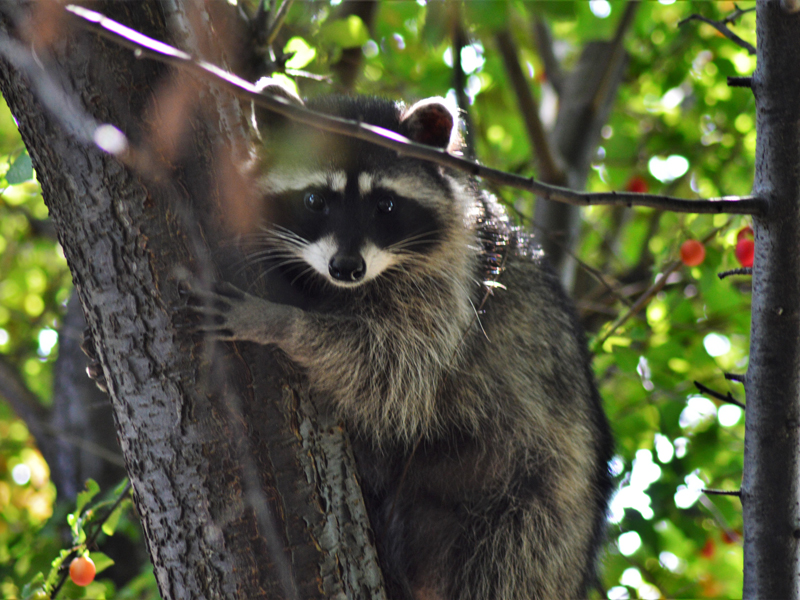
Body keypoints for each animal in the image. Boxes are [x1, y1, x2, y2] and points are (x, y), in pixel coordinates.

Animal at [188, 83, 612, 600]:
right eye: (315, 200)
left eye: (385, 205)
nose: (346, 268)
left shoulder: (455, 287)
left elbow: (393, 370)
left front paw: (282, 323)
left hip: (536, 510)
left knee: (504, 561)